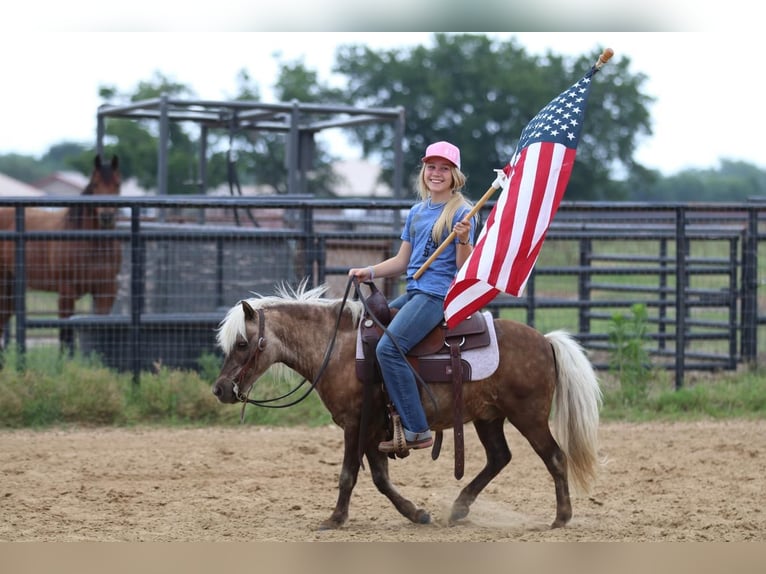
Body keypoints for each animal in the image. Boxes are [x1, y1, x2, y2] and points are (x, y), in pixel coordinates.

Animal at [0, 156, 122, 356]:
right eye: (95, 184)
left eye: (117, 184)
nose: (106, 216)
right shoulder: (66, 293)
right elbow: (66, 335)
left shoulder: (106, 291)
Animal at [212, 282, 608, 532]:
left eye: (243, 344)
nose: (220, 389)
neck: (337, 349)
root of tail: (545, 341)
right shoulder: (375, 428)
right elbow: (380, 478)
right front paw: (417, 514)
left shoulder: (356, 424)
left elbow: (349, 474)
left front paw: (334, 519)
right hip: (488, 417)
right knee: (499, 457)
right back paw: (459, 508)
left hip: (529, 415)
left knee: (554, 456)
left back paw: (561, 518)